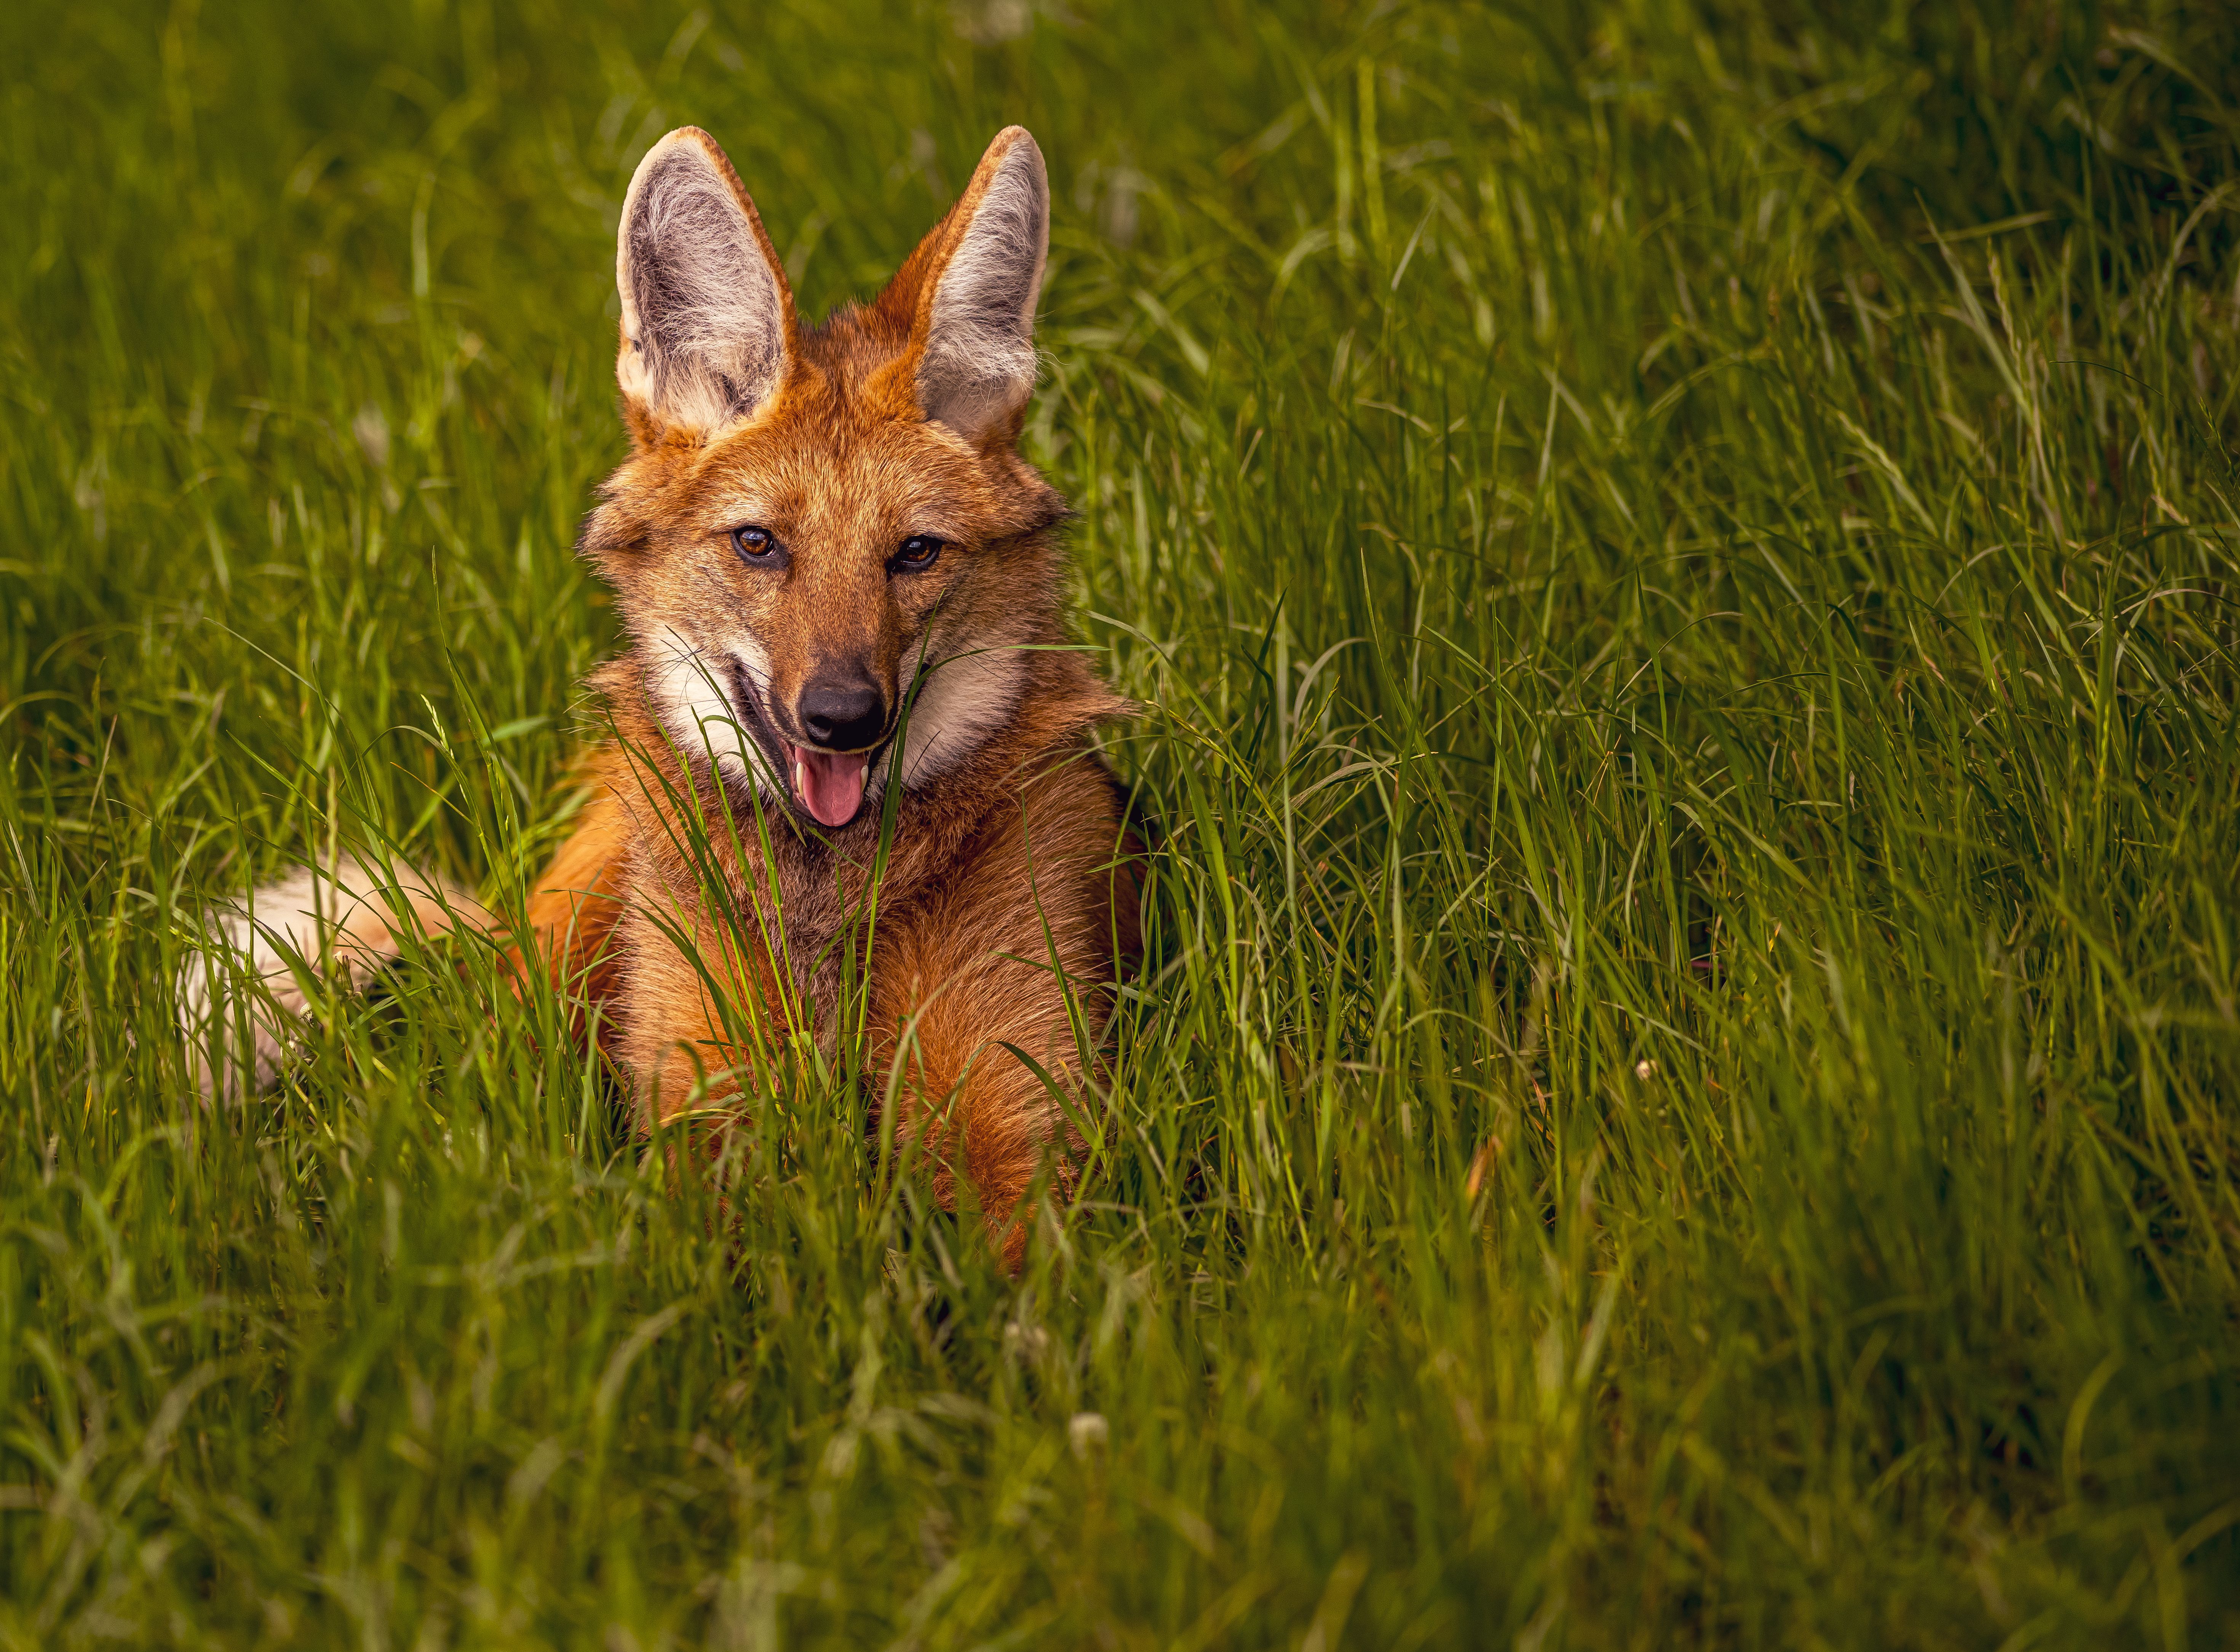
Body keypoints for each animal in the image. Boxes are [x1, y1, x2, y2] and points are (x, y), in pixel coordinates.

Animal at [183, 126, 1141, 1269]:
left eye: (914, 554)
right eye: (759, 545)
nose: (842, 716)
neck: (822, 914)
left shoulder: (1016, 1116)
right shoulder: (704, 1109)